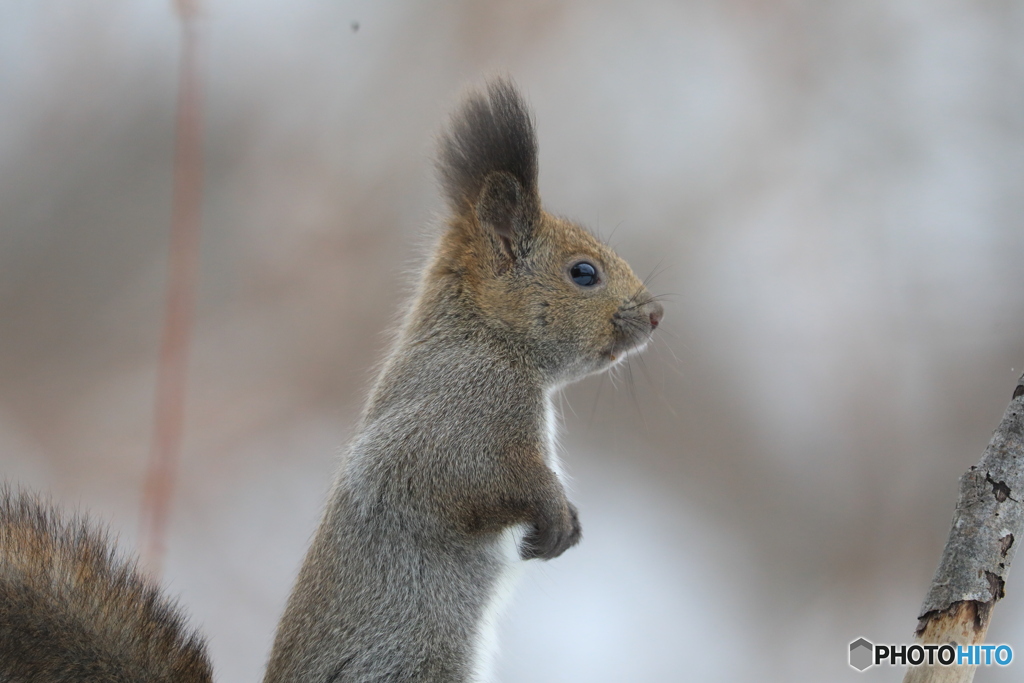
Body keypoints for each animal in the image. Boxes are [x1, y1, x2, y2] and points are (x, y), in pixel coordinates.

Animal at [0, 80, 663, 683]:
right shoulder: (457, 413)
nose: (656, 314)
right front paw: (554, 514)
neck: (487, 338)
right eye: (583, 273)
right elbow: (452, 476)